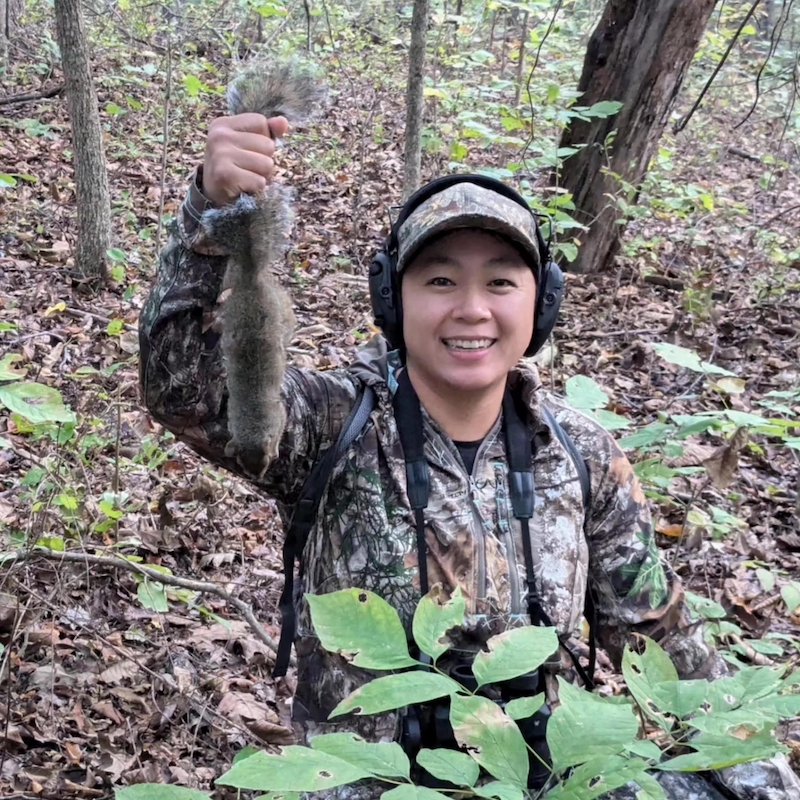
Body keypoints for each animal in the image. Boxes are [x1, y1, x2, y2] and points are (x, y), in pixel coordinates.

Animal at [200, 57, 327, 477]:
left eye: (268, 458)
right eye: (245, 463)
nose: (260, 473)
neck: (256, 420)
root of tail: (254, 277)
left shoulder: (279, 414)